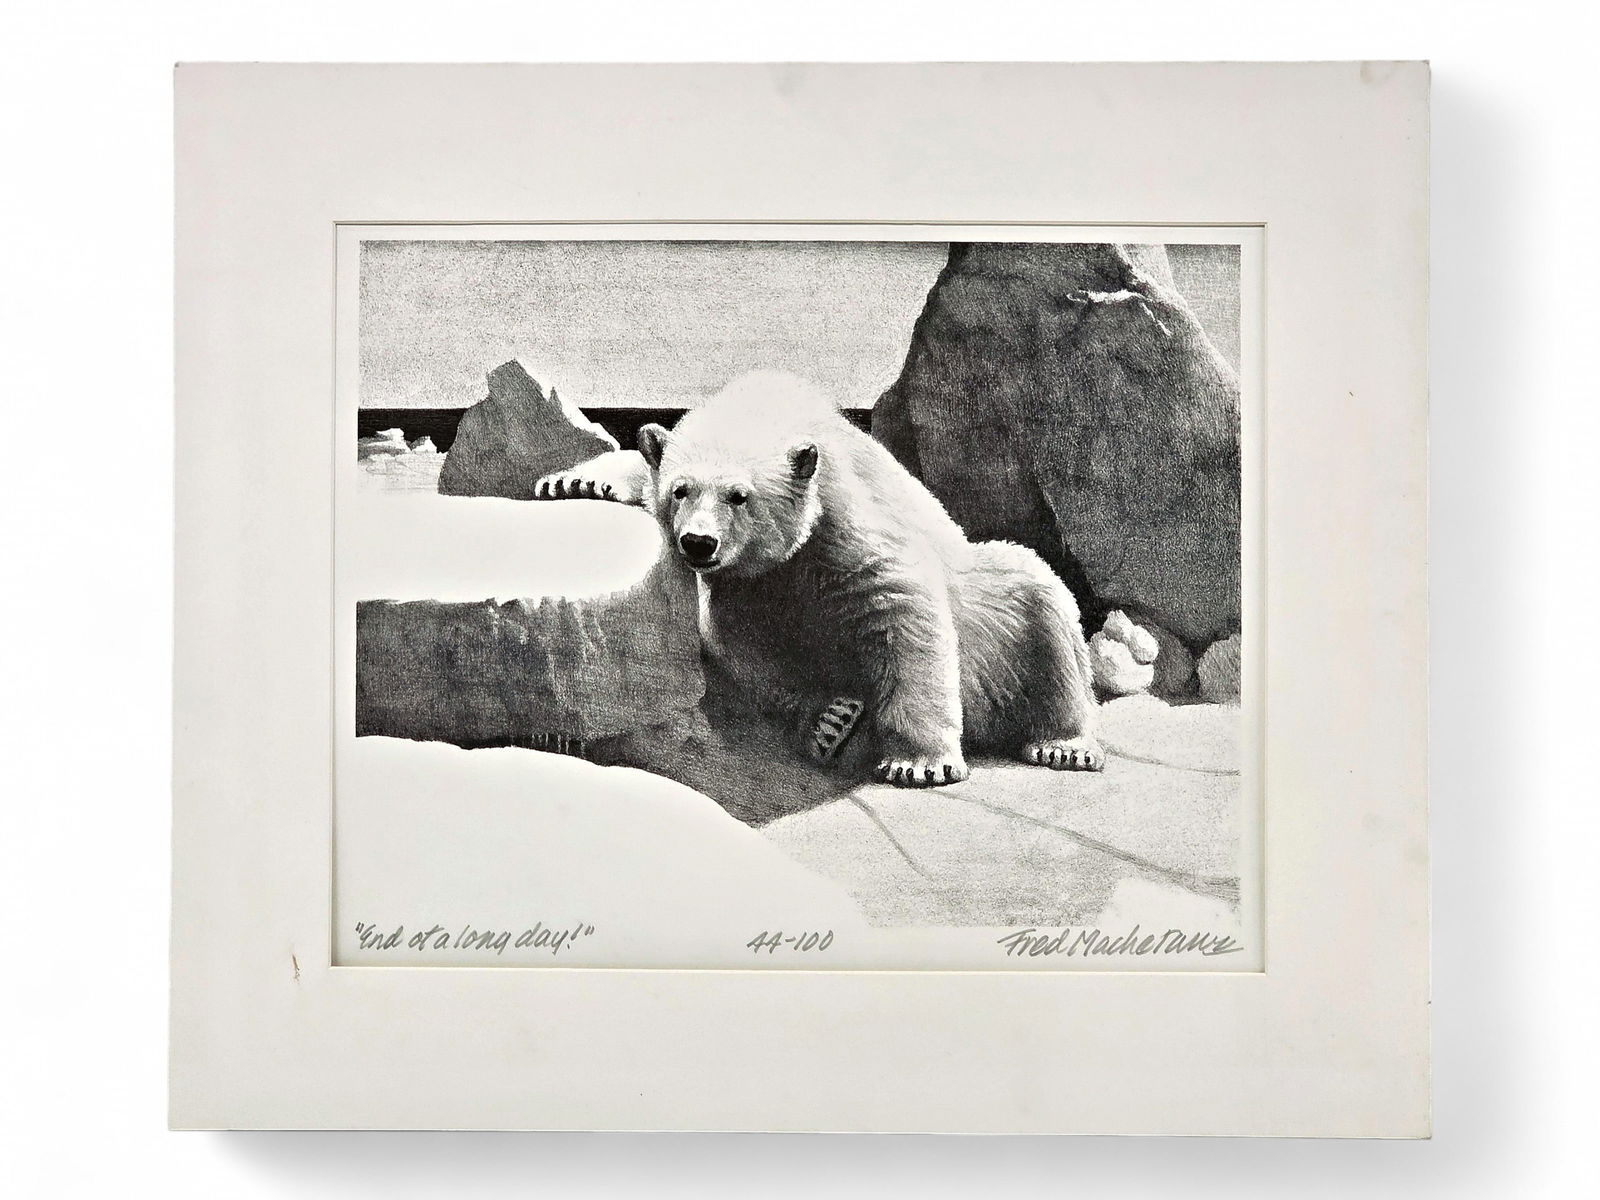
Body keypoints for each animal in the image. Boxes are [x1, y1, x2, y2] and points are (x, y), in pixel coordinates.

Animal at [535, 372, 1103, 787]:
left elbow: (906, 608)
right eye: (681, 490)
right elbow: (745, 642)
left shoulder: (848, 526)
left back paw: (1064, 744)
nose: (697, 543)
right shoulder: (754, 583)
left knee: (1041, 603)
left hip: (992, 607)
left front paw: (917, 762)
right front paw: (831, 718)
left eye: (739, 496)